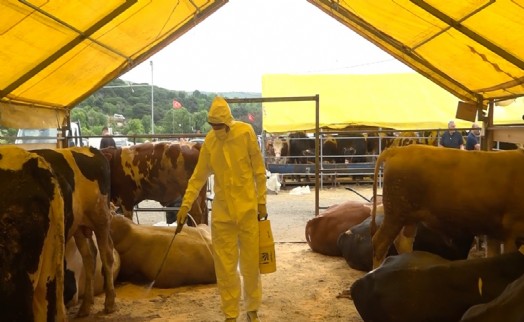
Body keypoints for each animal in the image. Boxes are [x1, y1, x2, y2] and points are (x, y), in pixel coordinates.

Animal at [34, 148, 117, 316]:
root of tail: (91, 149)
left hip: (101, 220)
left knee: (106, 254)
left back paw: (110, 303)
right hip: (79, 227)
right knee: (89, 256)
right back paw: (86, 306)